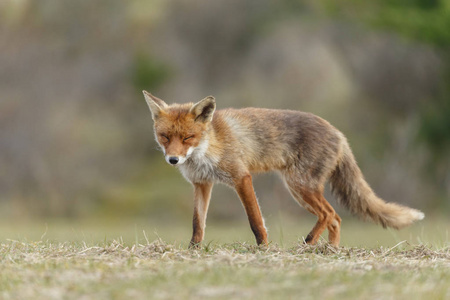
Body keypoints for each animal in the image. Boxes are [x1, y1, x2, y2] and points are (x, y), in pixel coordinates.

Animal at [142, 90, 424, 247]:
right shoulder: (202, 184)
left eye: (187, 137)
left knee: (329, 214)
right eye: (165, 137)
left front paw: (263, 249)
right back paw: (331, 251)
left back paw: (310, 243)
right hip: (300, 190)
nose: (173, 160)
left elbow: (255, 220)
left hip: (300, 186)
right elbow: (197, 224)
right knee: (336, 218)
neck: (208, 146)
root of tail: (339, 133)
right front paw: (193, 250)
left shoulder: (241, 177)